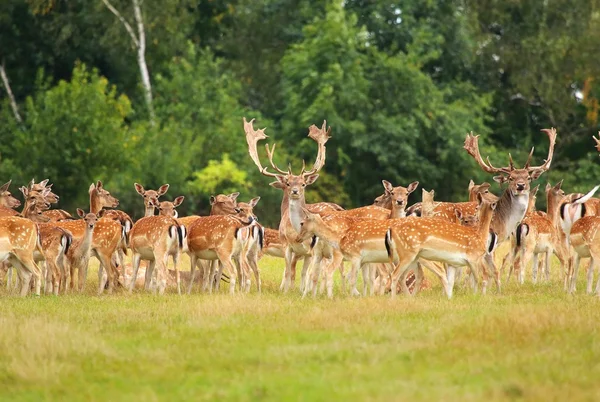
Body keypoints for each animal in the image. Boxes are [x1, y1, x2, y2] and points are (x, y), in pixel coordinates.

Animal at [245, 116, 338, 292]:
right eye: (287, 183)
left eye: (303, 184)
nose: (295, 191)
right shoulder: (288, 246)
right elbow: (291, 271)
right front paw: (289, 291)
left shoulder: (306, 250)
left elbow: (298, 272)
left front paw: (295, 290)